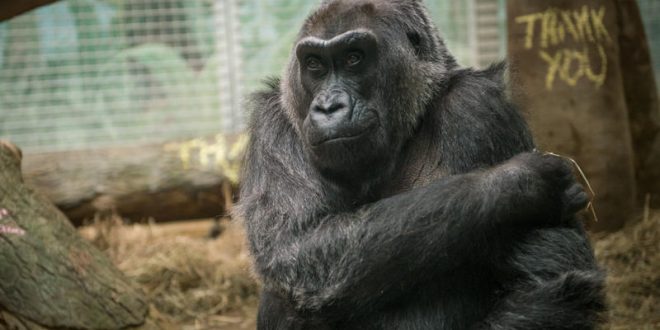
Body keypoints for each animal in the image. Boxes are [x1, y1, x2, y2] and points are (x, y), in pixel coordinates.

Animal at [236, 0, 604, 330]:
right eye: (315, 65)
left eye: (354, 58)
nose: (328, 107)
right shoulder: (274, 123)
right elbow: (295, 248)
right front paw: (516, 185)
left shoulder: (478, 106)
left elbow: (549, 279)